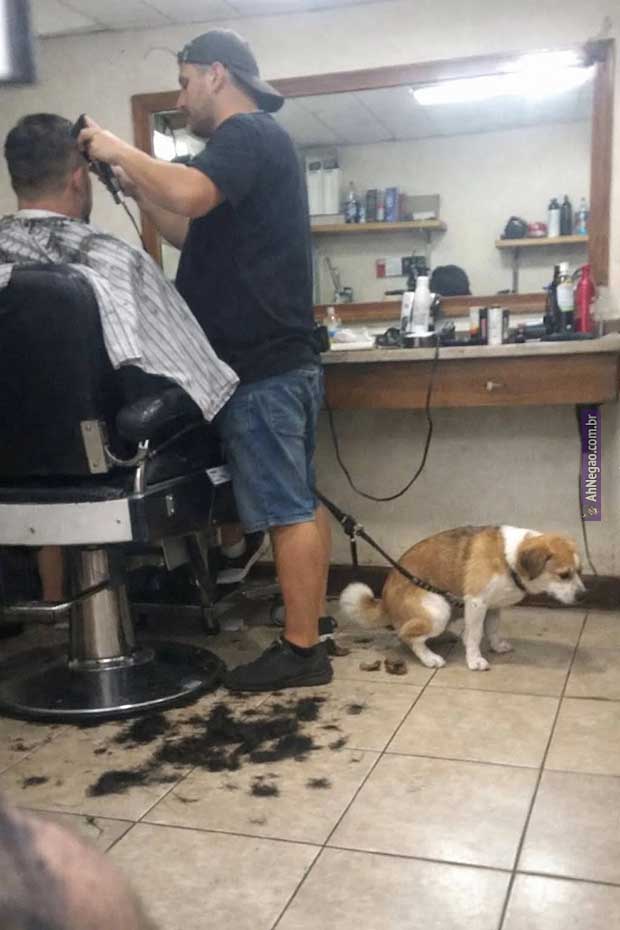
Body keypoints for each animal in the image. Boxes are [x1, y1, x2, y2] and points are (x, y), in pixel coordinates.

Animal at [340, 526, 584, 671]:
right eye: (564, 575)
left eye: (580, 571)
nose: (583, 595)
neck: (508, 559)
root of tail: (385, 603)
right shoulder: (476, 602)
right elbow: (475, 635)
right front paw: (474, 659)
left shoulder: (493, 606)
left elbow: (492, 629)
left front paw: (496, 646)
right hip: (439, 609)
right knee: (407, 636)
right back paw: (429, 658)